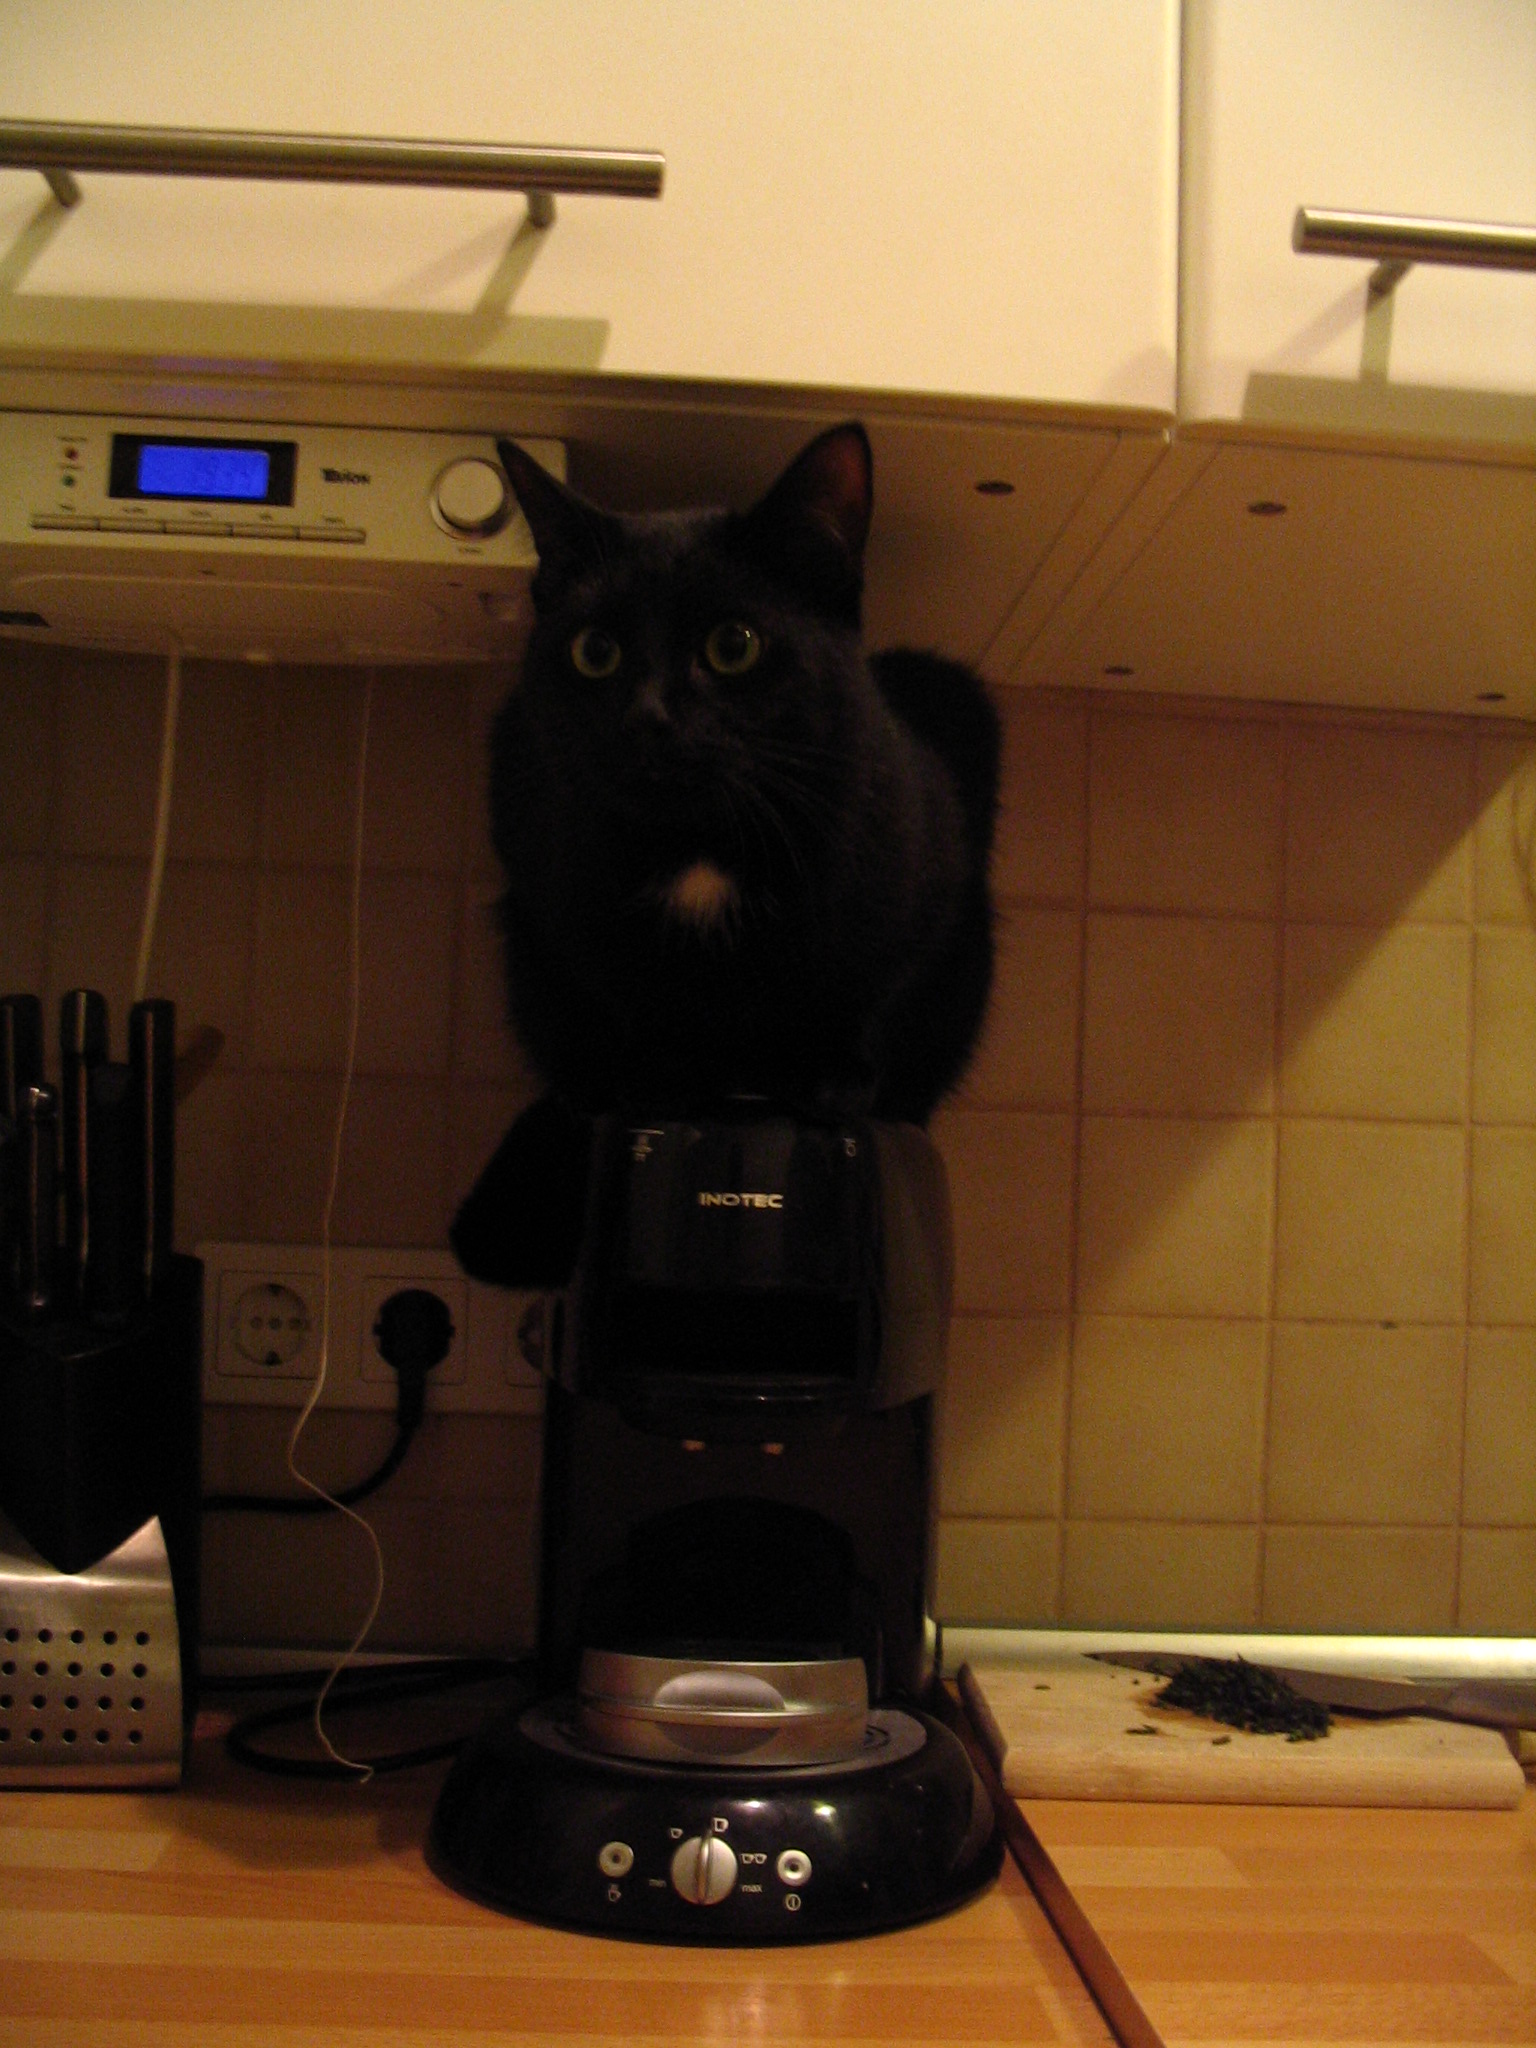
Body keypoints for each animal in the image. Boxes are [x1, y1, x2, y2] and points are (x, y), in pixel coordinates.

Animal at [452, 423, 999, 1287]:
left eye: (733, 645)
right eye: (595, 651)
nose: (648, 718)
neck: (703, 844)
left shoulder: (922, 881)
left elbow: (862, 985)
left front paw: (832, 1074)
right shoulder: (547, 870)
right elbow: (630, 994)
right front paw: (658, 1076)